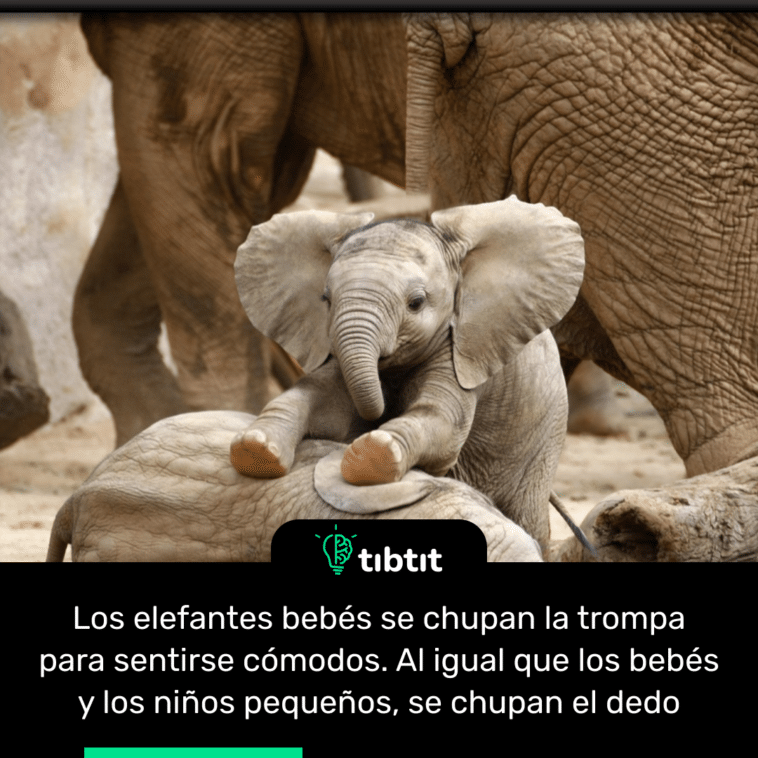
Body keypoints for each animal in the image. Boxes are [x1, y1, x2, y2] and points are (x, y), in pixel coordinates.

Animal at [230, 197, 585, 550]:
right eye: (325, 299)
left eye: (416, 303)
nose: (379, 414)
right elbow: (321, 400)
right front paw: (255, 448)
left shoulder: (462, 349)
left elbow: (442, 423)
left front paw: (371, 454)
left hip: (544, 438)